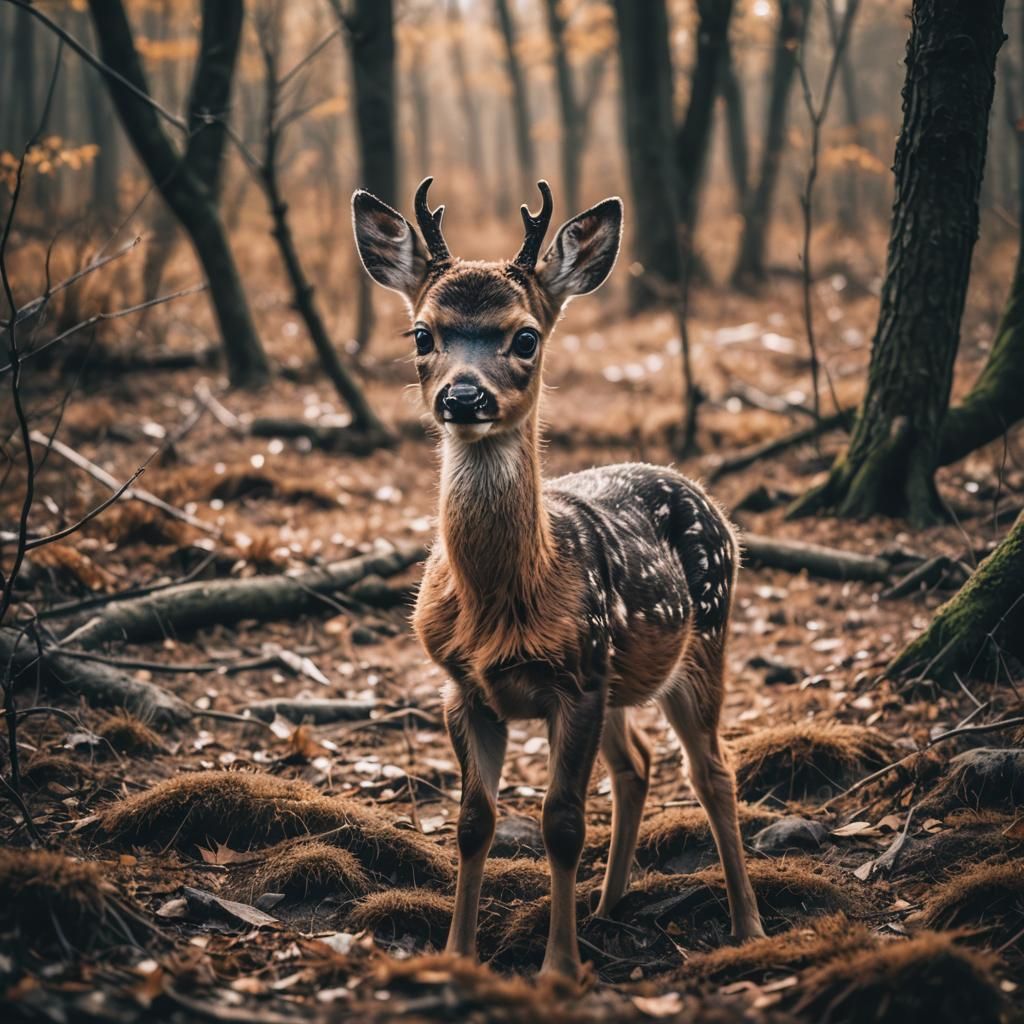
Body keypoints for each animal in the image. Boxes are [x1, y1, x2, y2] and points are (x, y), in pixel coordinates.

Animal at [351, 178, 765, 981]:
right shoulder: (462, 687)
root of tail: (711, 501)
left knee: (713, 771)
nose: (464, 397)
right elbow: (473, 822)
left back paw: (748, 926)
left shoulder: (575, 681)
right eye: (422, 335)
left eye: (524, 337)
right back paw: (609, 906)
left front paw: (560, 968)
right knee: (637, 765)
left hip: (702, 638)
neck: (502, 599)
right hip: (620, 676)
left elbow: (563, 824)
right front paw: (459, 953)